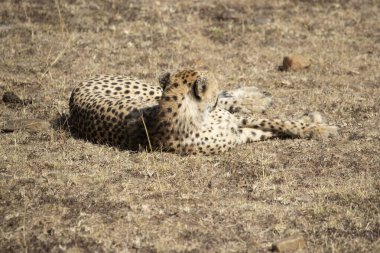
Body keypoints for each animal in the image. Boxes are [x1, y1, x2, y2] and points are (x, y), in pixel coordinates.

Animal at [69, 69, 338, 154]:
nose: (215, 94)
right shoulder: (237, 135)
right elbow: (272, 128)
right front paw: (318, 127)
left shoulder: (235, 123)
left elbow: (277, 122)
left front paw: (312, 123)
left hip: (150, 90)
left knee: (234, 100)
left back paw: (255, 97)